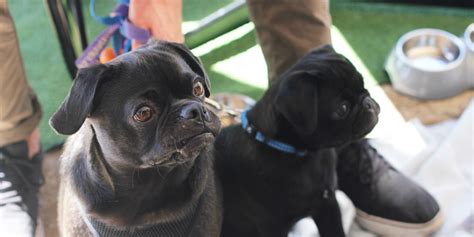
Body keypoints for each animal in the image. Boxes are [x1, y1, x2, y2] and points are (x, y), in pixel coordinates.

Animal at [217, 45, 380, 237]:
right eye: (342, 108)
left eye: (363, 84)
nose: (368, 103)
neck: (301, 155)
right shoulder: (272, 226)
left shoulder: (327, 204)